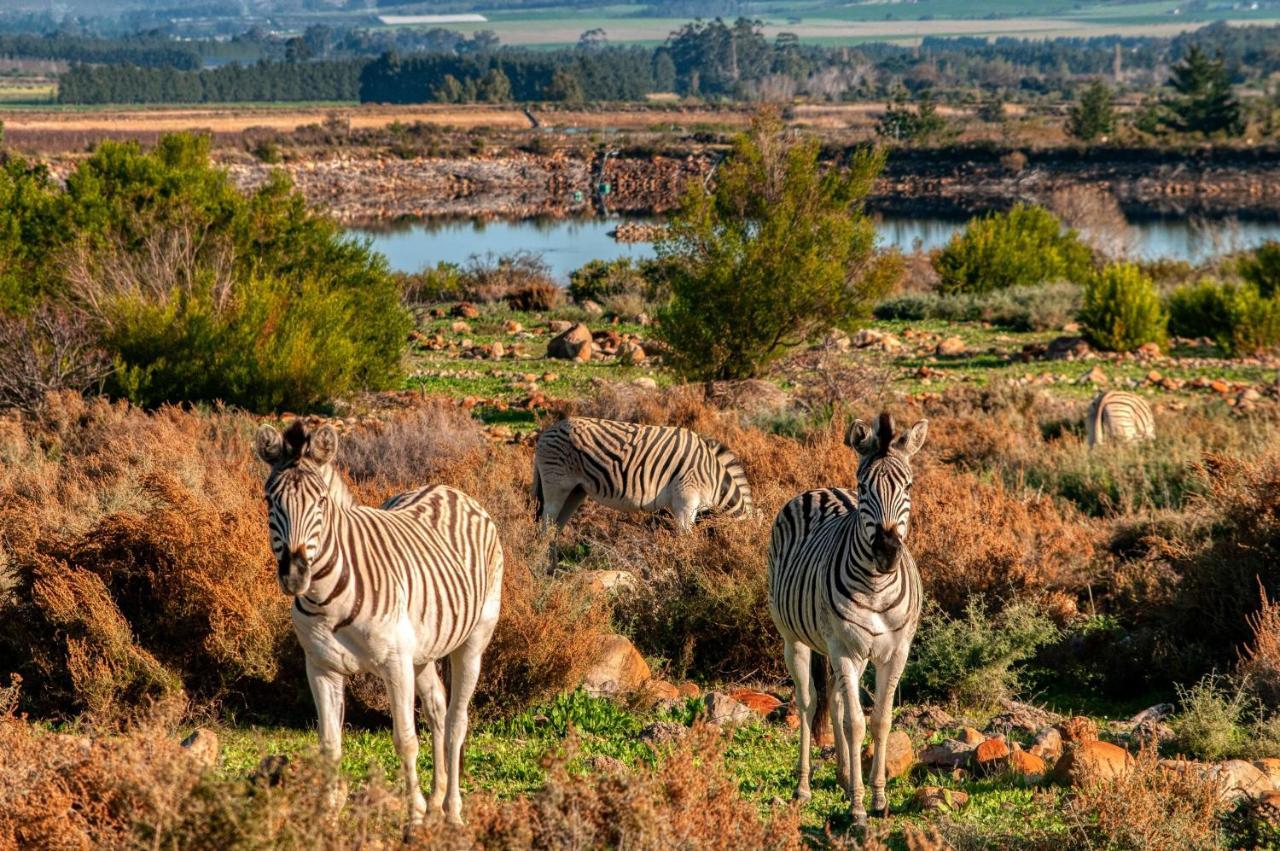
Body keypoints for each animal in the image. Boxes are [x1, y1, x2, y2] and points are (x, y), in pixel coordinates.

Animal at [254, 422, 504, 824]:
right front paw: (328, 815)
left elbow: (405, 739)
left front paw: (414, 815)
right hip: (423, 649)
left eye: (320, 502)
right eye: (268, 501)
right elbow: (329, 744)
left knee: (456, 722)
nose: (294, 576)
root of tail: (449, 489)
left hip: (473, 640)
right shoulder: (321, 666)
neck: (327, 599)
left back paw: (451, 811)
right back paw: (436, 800)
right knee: (437, 707)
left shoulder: (394, 662)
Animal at [527, 417, 747, 557]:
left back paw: (552, 572)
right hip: (556, 485)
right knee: (545, 528)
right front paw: (685, 567)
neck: (713, 479)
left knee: (554, 530)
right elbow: (685, 539)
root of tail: (547, 431)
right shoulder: (686, 501)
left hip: (576, 491)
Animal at [762, 412, 926, 824]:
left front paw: (878, 798)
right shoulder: (844, 649)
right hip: (796, 639)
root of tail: (821, 489)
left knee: (834, 697)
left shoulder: (895, 652)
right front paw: (858, 807)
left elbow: (881, 720)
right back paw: (804, 786)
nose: (886, 551)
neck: (878, 585)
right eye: (863, 487)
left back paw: (842, 775)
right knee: (808, 702)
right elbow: (856, 724)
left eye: (909, 485)